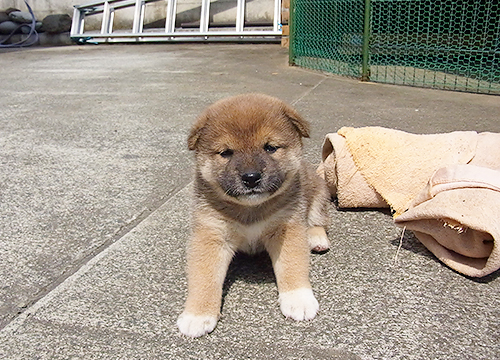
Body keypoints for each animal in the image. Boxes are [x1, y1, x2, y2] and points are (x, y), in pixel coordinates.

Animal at [178, 93, 330, 338]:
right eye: (226, 153)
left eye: (270, 147)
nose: (251, 177)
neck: (250, 210)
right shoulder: (211, 235)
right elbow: (204, 277)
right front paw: (197, 314)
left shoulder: (287, 227)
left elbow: (292, 264)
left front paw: (298, 299)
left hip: (318, 193)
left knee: (318, 220)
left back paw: (316, 238)